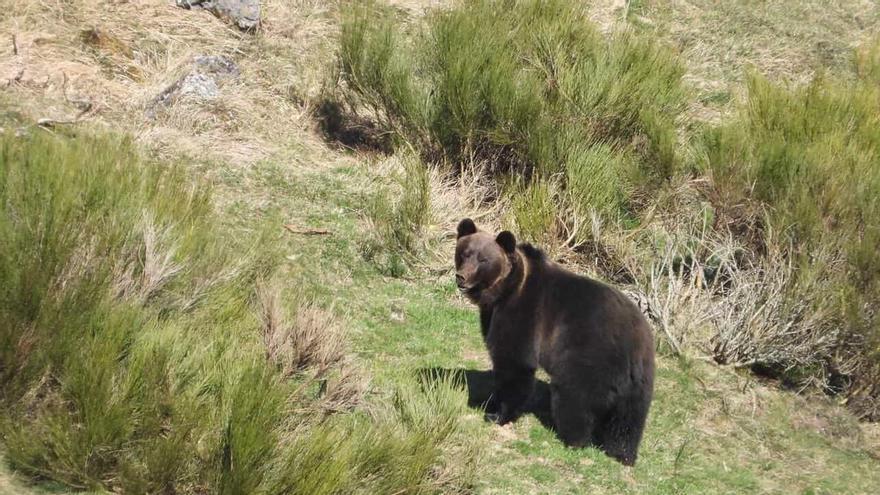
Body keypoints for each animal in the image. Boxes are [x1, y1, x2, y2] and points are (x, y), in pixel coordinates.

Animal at [454, 218, 655, 466]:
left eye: (483, 259)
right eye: (464, 253)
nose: (462, 277)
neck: (504, 290)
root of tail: (634, 341)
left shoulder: (524, 314)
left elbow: (514, 363)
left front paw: (496, 413)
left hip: (588, 354)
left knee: (575, 397)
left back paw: (573, 438)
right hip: (641, 377)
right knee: (630, 417)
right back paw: (622, 452)